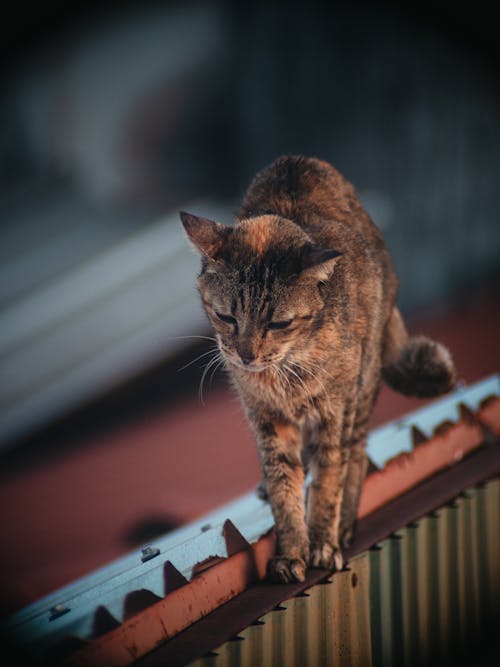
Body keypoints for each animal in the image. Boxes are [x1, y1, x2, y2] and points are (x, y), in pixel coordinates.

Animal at [180, 157, 458, 584]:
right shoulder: (267, 419)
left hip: (362, 387)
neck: (285, 372)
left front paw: (323, 543)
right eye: (226, 316)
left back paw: (344, 526)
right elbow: (284, 483)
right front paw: (291, 551)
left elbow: (329, 479)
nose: (245, 355)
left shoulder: (334, 412)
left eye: (278, 323)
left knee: (355, 456)